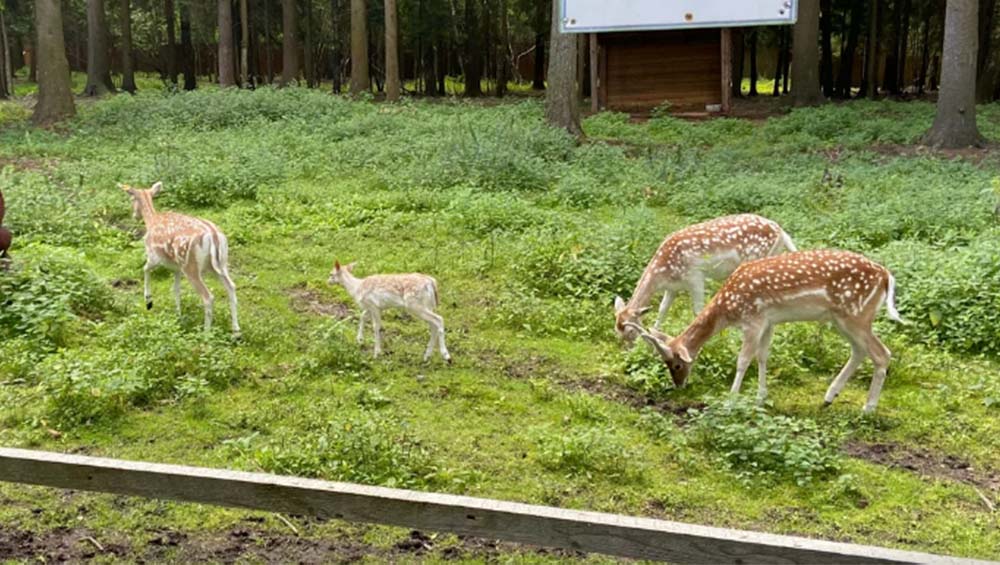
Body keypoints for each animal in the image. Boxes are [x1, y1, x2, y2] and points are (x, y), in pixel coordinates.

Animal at [118, 181, 238, 332]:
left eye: (131, 199)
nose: (135, 216)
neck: (151, 221)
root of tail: (214, 236)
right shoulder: (176, 267)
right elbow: (176, 289)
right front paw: (178, 315)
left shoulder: (154, 255)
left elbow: (145, 269)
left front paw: (148, 301)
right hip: (221, 263)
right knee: (231, 287)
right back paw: (236, 331)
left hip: (190, 266)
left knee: (208, 297)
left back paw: (206, 333)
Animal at [608, 213, 796, 342]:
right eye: (616, 331)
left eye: (631, 331)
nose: (630, 348)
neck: (663, 271)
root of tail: (782, 232)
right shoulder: (673, 287)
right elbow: (662, 308)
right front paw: (655, 331)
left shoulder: (695, 276)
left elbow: (697, 310)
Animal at [632, 249, 908, 412]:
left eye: (676, 364)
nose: (679, 385)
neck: (728, 310)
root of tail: (887, 276)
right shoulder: (769, 321)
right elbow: (763, 356)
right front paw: (760, 397)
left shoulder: (753, 320)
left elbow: (743, 359)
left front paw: (731, 400)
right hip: (841, 318)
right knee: (860, 351)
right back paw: (829, 397)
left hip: (856, 315)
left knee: (882, 353)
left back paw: (868, 408)